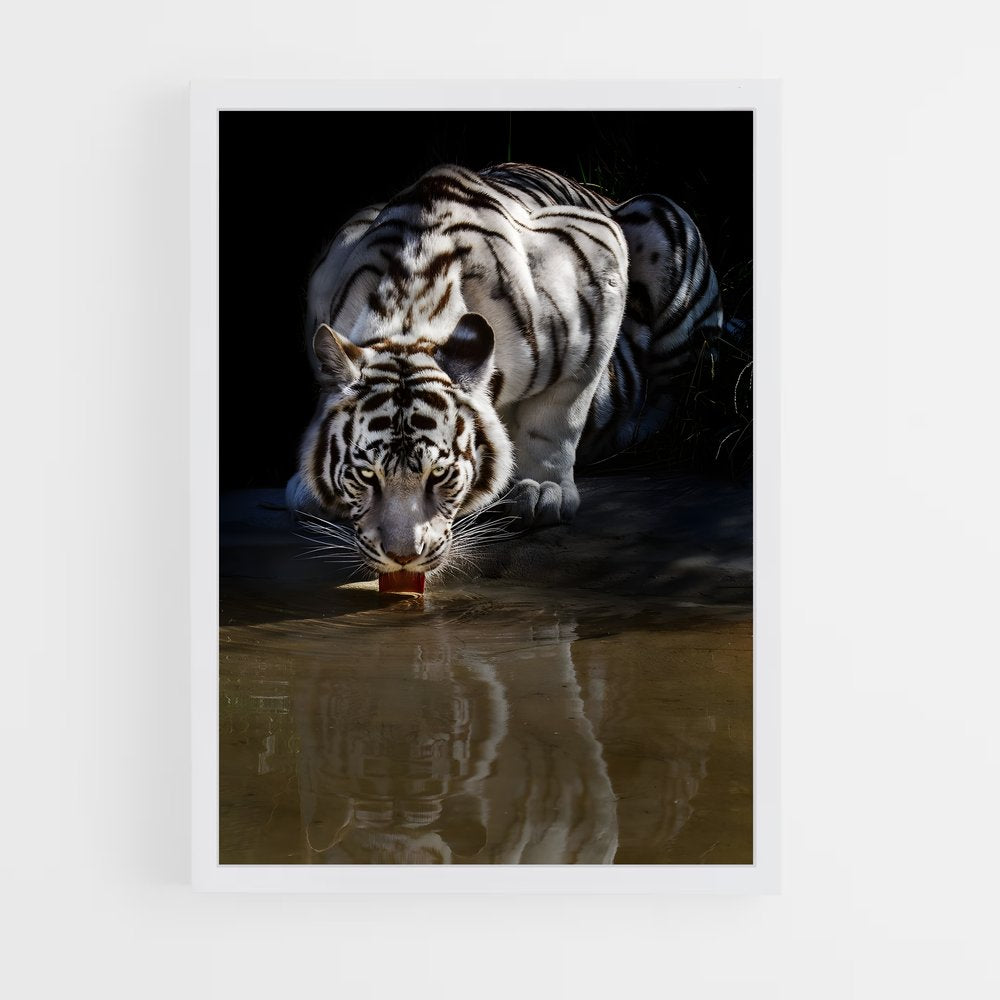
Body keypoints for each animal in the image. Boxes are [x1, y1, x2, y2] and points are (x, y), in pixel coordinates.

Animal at [286, 163, 723, 576]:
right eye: (366, 476)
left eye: (439, 475)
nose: (403, 557)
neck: (410, 313)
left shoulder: (599, 261)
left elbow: (559, 414)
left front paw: (543, 490)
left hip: (662, 227)